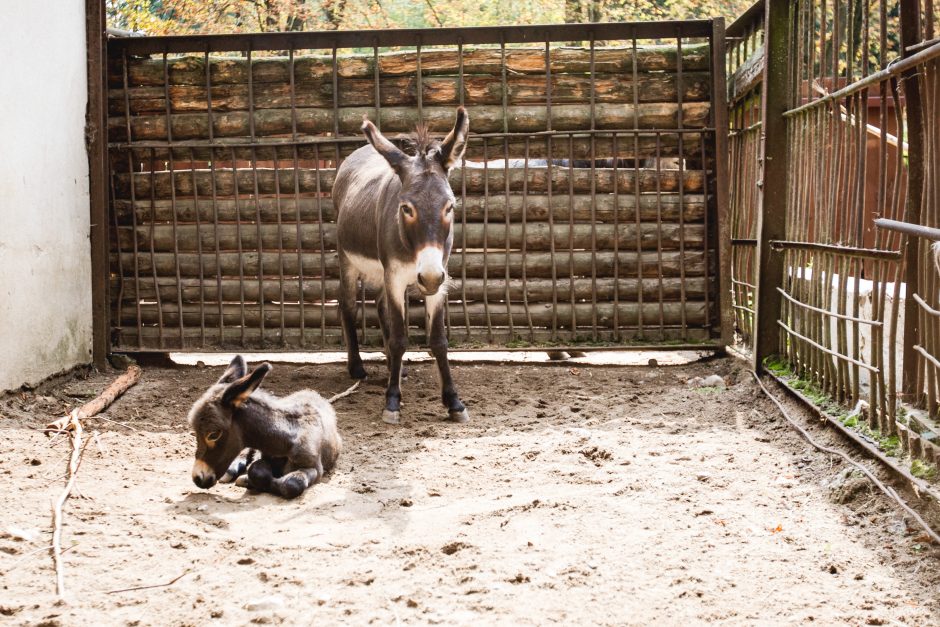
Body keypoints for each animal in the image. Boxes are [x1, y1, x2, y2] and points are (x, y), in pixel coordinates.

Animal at [187, 358, 342, 500]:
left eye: (213, 435)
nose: (197, 478)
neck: (284, 441)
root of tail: (311, 391)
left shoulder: (315, 468)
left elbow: (292, 484)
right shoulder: (261, 453)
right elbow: (255, 470)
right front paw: (249, 480)